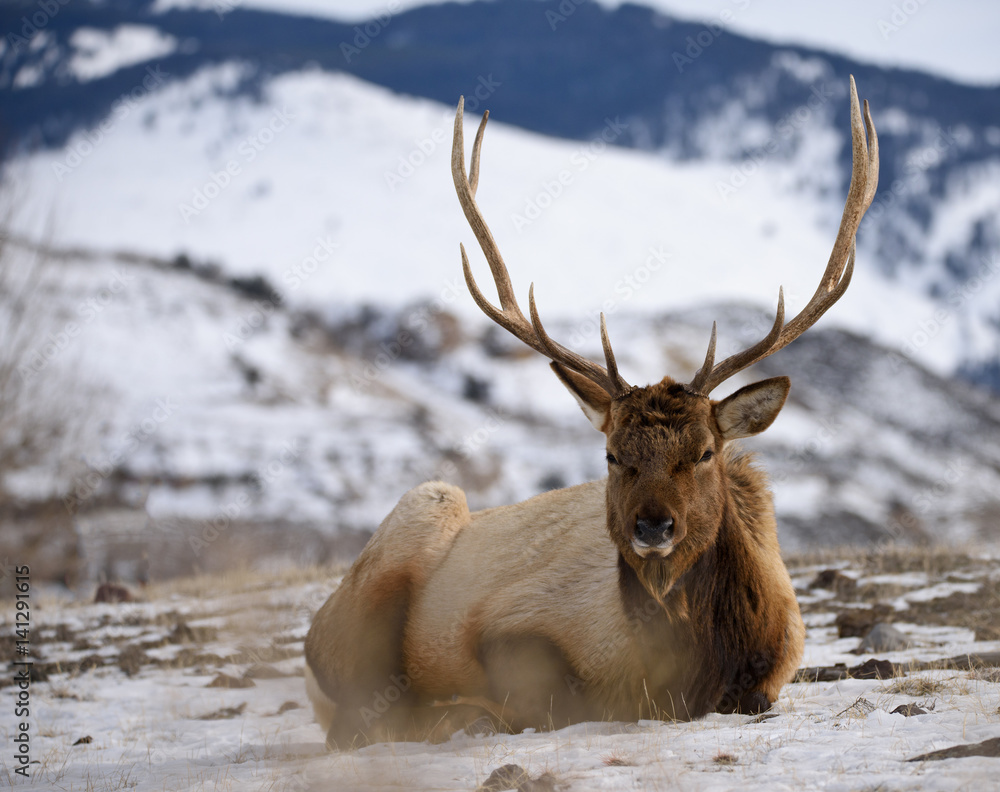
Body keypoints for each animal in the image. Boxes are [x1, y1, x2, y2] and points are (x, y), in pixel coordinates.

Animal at [305, 76, 878, 748]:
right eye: (610, 454)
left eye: (705, 452)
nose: (652, 527)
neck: (690, 665)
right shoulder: (514, 620)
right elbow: (549, 697)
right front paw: (472, 709)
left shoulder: (778, 663)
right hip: (422, 513)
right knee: (355, 708)